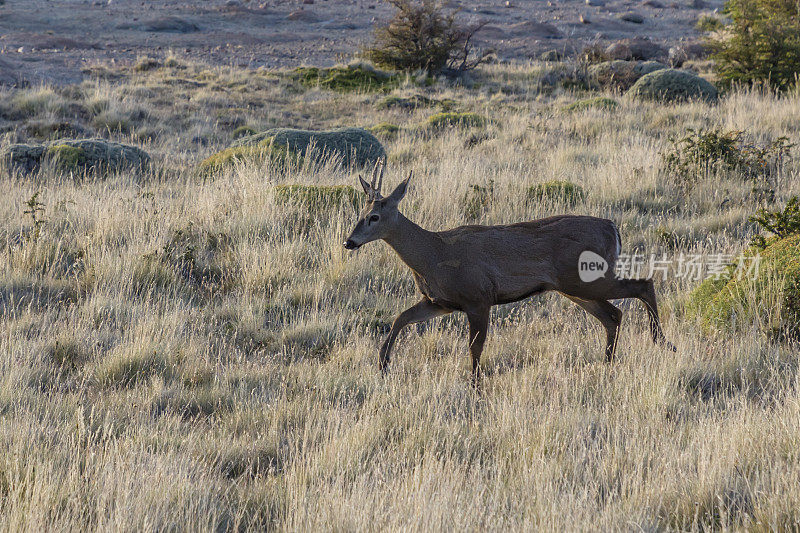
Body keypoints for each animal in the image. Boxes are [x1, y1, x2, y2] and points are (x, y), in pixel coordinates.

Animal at [344, 164, 676, 380]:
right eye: (358, 213)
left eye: (374, 217)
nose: (349, 242)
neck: (434, 254)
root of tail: (612, 228)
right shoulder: (441, 302)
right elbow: (401, 318)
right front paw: (383, 363)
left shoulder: (478, 298)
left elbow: (475, 347)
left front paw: (475, 384)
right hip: (574, 287)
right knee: (613, 315)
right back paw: (608, 364)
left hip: (587, 279)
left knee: (642, 284)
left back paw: (663, 342)